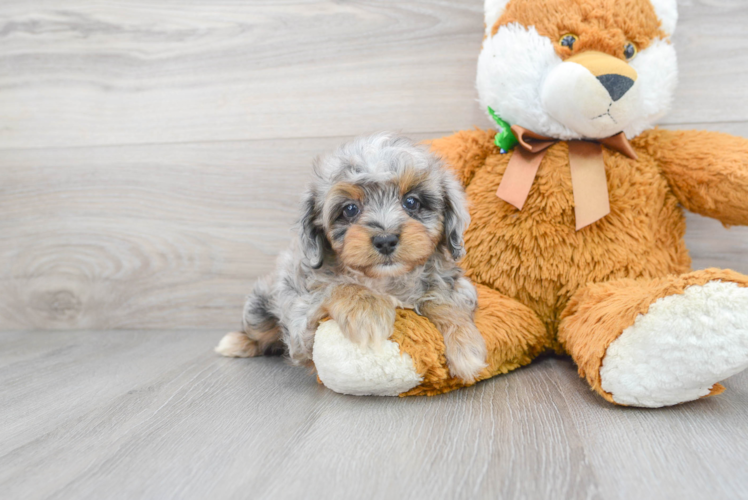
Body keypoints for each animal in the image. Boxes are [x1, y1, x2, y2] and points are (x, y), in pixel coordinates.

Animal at [215, 133, 490, 382]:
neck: (383, 280)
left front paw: (465, 345)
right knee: (260, 333)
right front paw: (367, 310)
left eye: (411, 202)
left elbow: (443, 300)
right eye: (350, 209)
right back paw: (236, 342)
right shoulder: (300, 322)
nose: (386, 240)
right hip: (258, 309)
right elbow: (338, 287)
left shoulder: (459, 287)